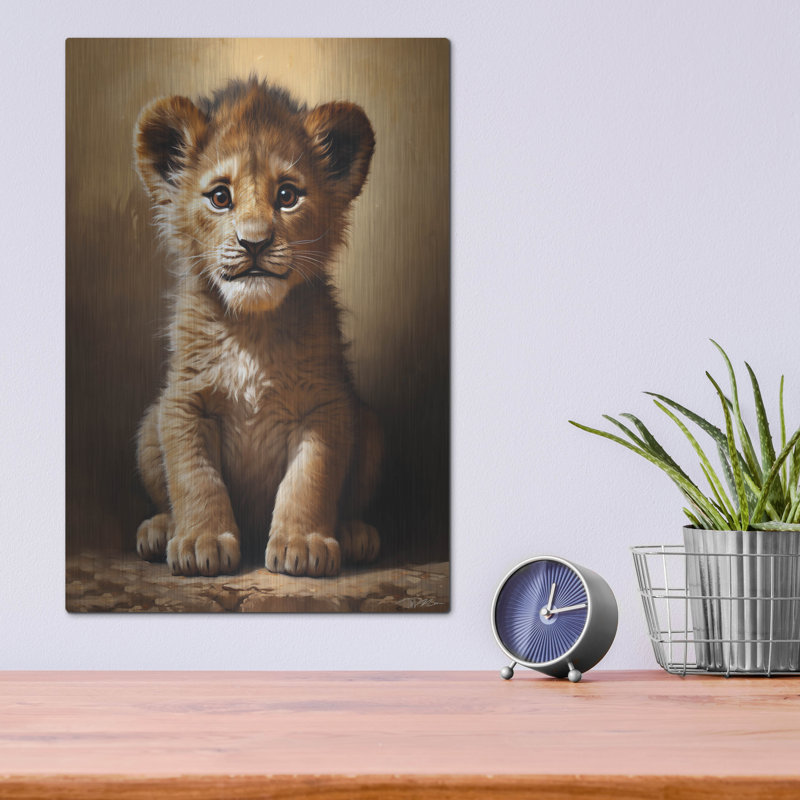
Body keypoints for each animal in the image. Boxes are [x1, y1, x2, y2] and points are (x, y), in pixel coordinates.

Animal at [133, 77, 382, 578]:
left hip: (367, 425)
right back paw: (159, 530)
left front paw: (303, 544)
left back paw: (354, 534)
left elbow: (309, 479)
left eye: (287, 195)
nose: (254, 243)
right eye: (220, 197)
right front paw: (200, 543)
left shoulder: (325, 405)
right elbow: (195, 477)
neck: (251, 327)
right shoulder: (183, 403)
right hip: (149, 425)